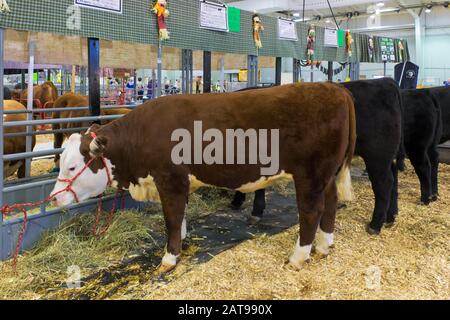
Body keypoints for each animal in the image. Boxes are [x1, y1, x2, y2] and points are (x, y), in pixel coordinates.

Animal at [51, 83, 356, 272]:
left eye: (72, 167)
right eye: (62, 162)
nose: (53, 198)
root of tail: (335, 88)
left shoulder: (170, 179)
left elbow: (172, 218)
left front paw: (169, 257)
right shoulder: (179, 182)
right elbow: (181, 215)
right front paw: (183, 241)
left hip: (310, 175)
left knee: (311, 211)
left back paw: (298, 256)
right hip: (327, 175)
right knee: (330, 203)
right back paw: (324, 246)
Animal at [232, 79, 404, 235]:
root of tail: (385, 82)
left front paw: (249, 207)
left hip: (377, 156)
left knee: (384, 183)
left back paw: (375, 225)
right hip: (387, 156)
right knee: (394, 177)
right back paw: (390, 217)